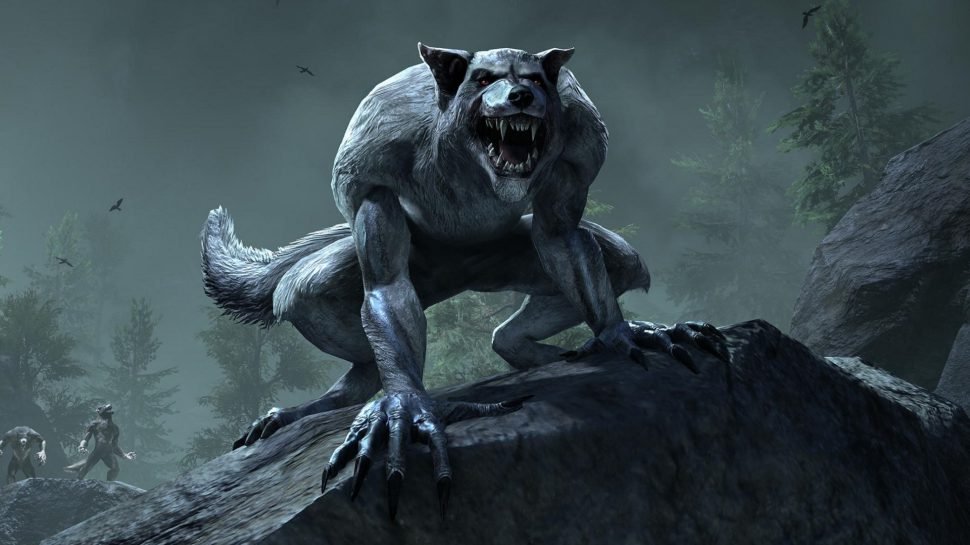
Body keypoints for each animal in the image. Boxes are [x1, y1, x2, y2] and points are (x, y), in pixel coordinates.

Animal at [202, 44, 727, 519]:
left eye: (534, 79)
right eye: (483, 79)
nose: (520, 96)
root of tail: (463, 273)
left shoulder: (579, 147)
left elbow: (561, 235)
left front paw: (622, 334)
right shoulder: (372, 163)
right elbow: (387, 287)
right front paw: (405, 411)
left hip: (514, 258)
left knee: (604, 270)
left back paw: (557, 352)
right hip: (337, 283)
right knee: (327, 311)